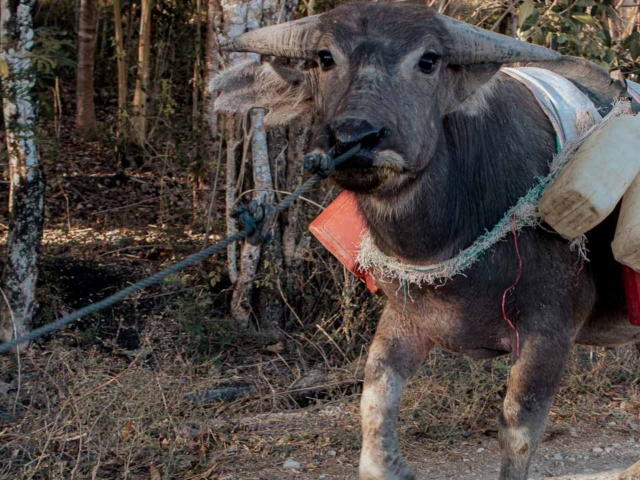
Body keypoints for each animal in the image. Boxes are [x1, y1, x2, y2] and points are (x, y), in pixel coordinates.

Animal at [214, 3, 640, 480]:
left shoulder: (550, 332)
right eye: (325, 58)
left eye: (429, 60)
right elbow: (374, 403)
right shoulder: (406, 315)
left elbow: (518, 433)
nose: (355, 138)